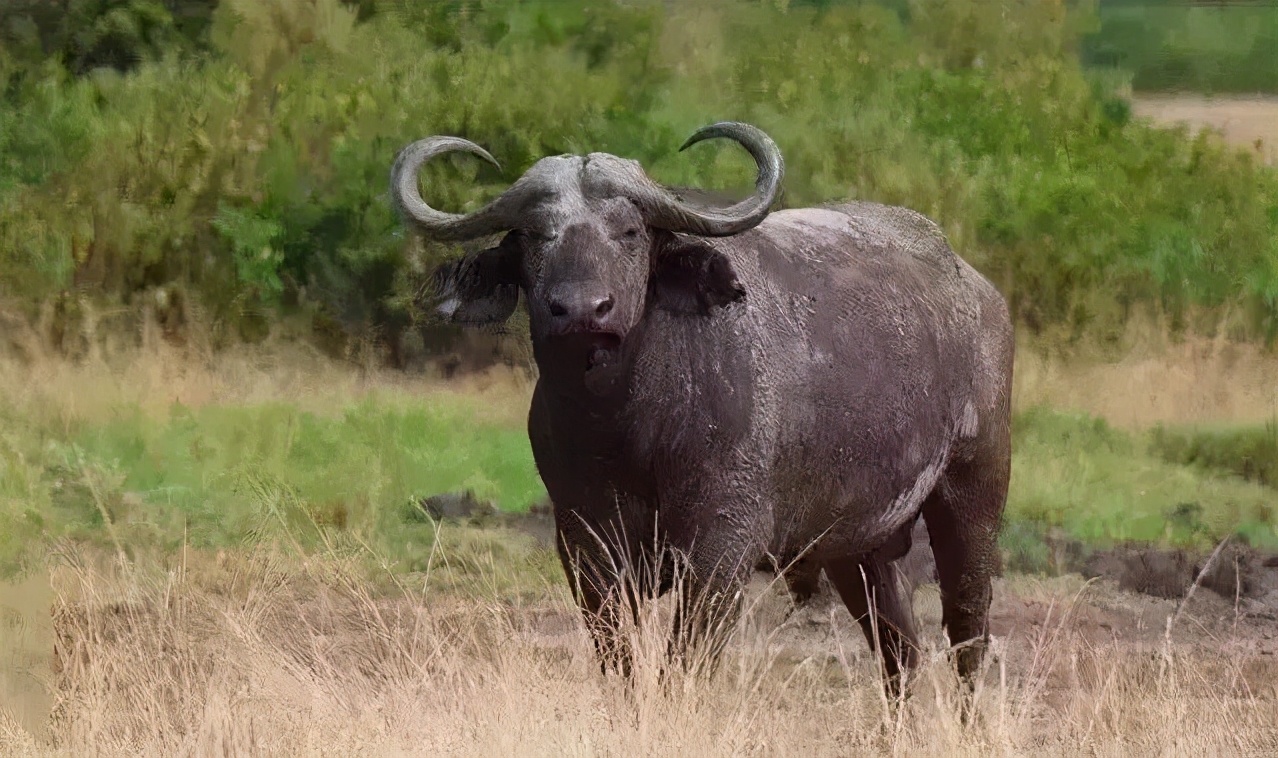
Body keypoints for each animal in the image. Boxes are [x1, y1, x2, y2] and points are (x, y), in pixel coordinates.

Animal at [393, 123, 1012, 695]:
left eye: (630, 231)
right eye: (535, 235)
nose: (583, 310)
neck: (624, 425)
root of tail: (980, 292)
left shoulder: (721, 545)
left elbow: (684, 662)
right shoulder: (584, 542)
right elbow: (620, 660)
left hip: (974, 494)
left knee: (967, 630)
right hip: (858, 545)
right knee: (900, 651)